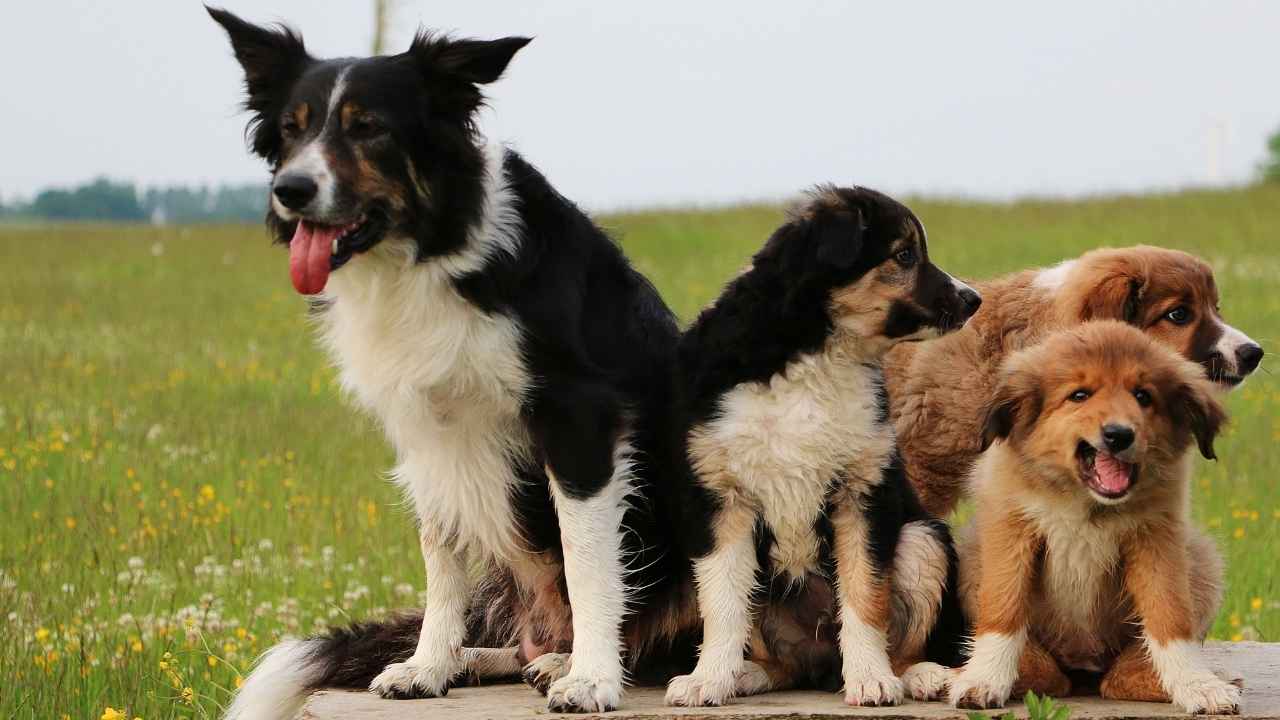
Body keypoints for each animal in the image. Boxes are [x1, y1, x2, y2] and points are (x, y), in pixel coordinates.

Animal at [211, 8, 691, 712]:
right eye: (292, 129)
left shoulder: (579, 417)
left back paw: (568, 661)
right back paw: (498, 658)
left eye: (368, 127)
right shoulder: (427, 430)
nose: (290, 190)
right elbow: (441, 558)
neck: (425, 252)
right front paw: (428, 666)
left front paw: (594, 679)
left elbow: (588, 559)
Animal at [665, 185, 972, 707]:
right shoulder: (721, 499)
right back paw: (749, 674)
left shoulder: (863, 493)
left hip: (921, 539)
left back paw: (919, 675)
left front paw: (871, 680)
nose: (975, 298)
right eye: (904, 255)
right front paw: (708, 680)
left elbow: (865, 598)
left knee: (900, 642)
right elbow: (723, 607)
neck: (817, 357)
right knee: (785, 662)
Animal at [911, 320, 1239, 712]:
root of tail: (1084, 666)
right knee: (1048, 673)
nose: (1119, 435)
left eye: (1143, 396)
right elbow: (1004, 608)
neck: (1084, 502)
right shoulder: (1011, 529)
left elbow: (1170, 613)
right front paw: (983, 679)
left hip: (1202, 559)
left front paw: (1197, 684)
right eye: (1079, 395)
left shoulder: (1157, 538)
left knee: (1116, 677)